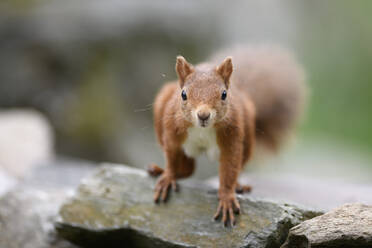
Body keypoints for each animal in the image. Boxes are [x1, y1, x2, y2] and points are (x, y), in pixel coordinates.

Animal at [147, 45, 306, 227]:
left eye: (224, 94)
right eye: (183, 94)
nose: (203, 115)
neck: (202, 130)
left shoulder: (232, 137)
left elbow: (229, 168)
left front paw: (227, 197)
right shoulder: (172, 132)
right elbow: (172, 157)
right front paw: (168, 177)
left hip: (248, 134)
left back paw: (239, 186)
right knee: (188, 168)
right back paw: (158, 170)